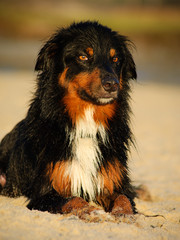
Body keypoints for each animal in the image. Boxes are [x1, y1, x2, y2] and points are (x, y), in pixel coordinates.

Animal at [0, 21, 137, 218]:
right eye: (83, 57)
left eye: (115, 59)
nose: (112, 85)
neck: (86, 124)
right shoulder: (44, 194)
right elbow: (74, 200)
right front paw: (94, 213)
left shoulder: (113, 182)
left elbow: (123, 199)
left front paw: (124, 215)